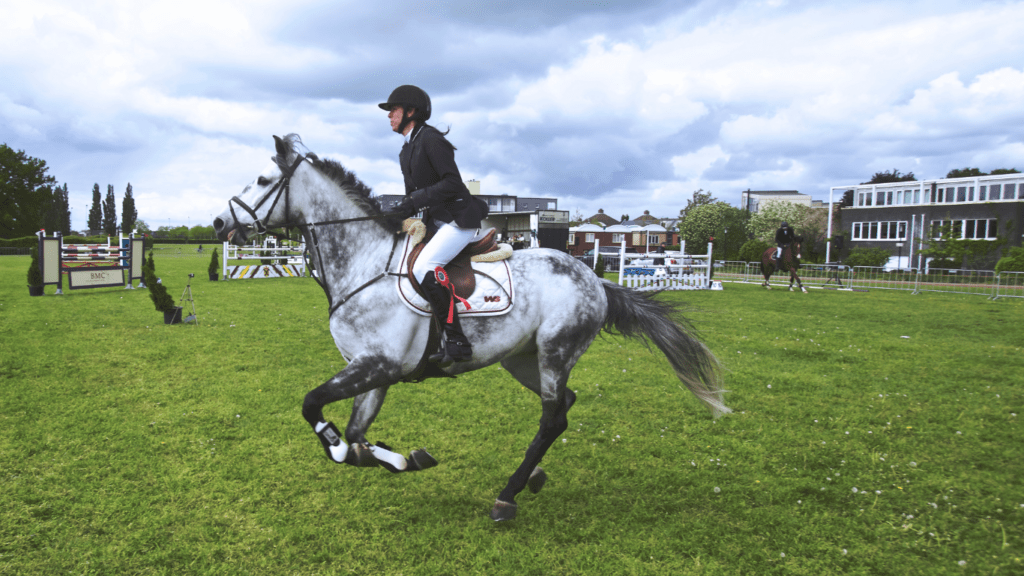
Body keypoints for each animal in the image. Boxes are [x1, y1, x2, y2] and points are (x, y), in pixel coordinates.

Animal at [214, 134, 729, 520]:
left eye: (262, 179)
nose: (220, 222)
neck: (364, 263)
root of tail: (595, 279)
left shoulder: (377, 365)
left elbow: (315, 409)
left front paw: (353, 450)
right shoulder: (373, 371)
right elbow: (358, 435)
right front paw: (402, 458)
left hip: (555, 350)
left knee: (552, 416)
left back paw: (508, 495)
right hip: (522, 359)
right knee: (563, 405)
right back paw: (531, 478)